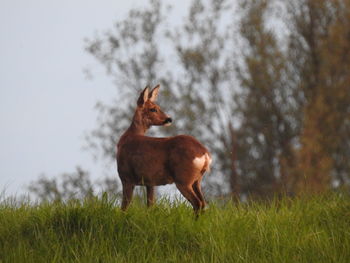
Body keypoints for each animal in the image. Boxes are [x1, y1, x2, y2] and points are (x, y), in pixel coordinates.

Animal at [116, 85, 212, 216]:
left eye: (157, 107)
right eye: (153, 109)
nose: (169, 119)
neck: (129, 137)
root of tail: (204, 154)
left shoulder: (126, 177)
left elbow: (124, 207)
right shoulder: (150, 182)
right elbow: (150, 205)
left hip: (183, 179)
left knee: (197, 203)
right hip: (197, 180)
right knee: (203, 203)